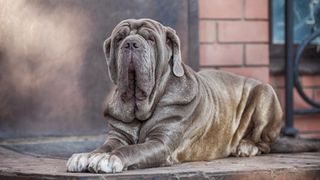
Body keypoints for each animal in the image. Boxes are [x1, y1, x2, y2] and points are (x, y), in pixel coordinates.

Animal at [65, 18, 282, 173]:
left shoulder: (162, 142)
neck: (142, 105)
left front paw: (110, 158)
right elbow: (104, 147)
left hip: (265, 93)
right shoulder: (117, 137)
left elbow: (133, 149)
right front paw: (86, 156)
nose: (131, 43)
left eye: (150, 39)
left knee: (265, 142)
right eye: (119, 38)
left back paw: (246, 146)